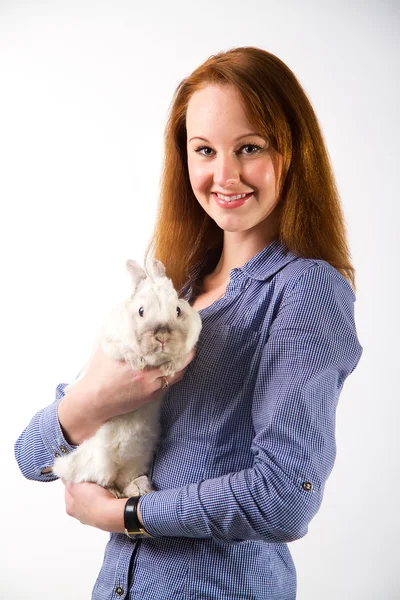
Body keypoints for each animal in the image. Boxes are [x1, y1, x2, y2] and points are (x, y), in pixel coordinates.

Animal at [53, 258, 202, 496]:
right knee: (100, 481)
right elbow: (126, 352)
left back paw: (138, 488)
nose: (162, 336)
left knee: (124, 480)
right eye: (141, 311)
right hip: (98, 463)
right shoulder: (111, 343)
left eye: (178, 310)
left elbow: (180, 357)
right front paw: (138, 362)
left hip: (136, 460)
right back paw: (116, 492)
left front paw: (170, 367)